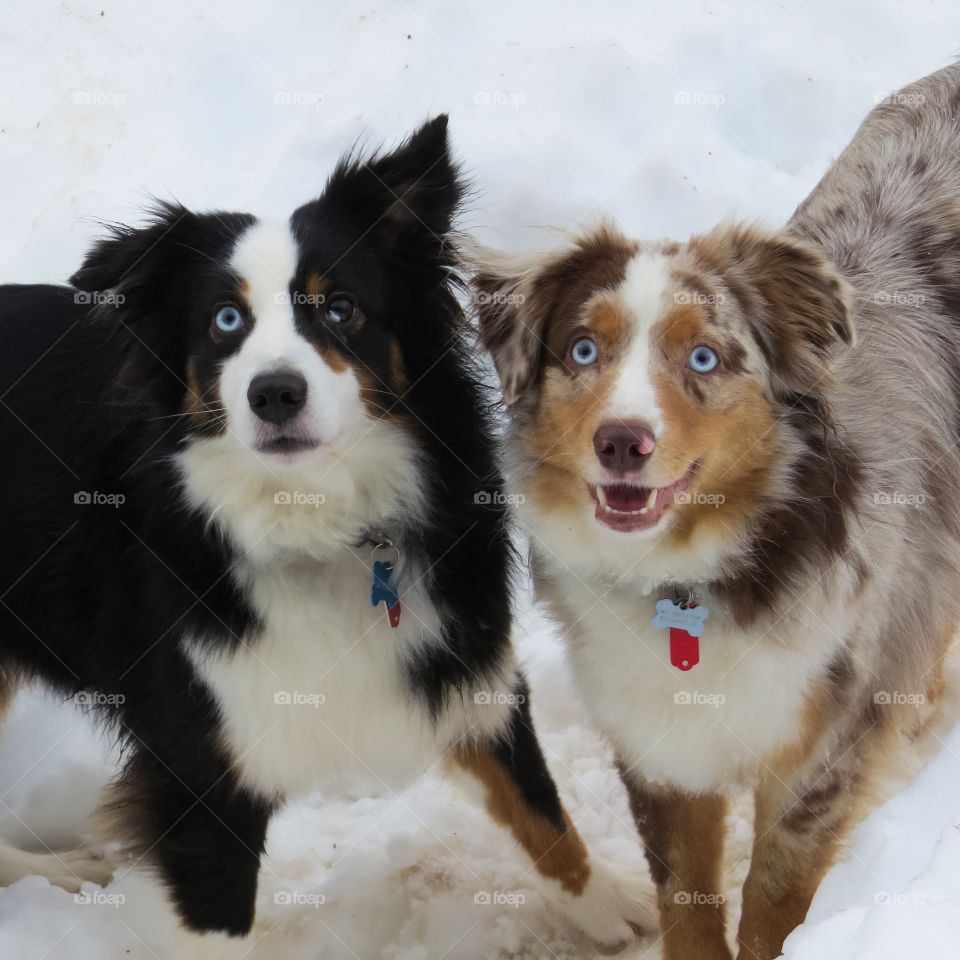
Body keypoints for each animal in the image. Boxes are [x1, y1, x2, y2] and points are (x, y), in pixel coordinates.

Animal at [0, 116, 652, 948]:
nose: (274, 393)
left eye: (339, 308)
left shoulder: (456, 652)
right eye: (226, 320)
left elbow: (536, 802)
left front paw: (611, 903)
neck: (314, 521)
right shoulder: (200, 758)